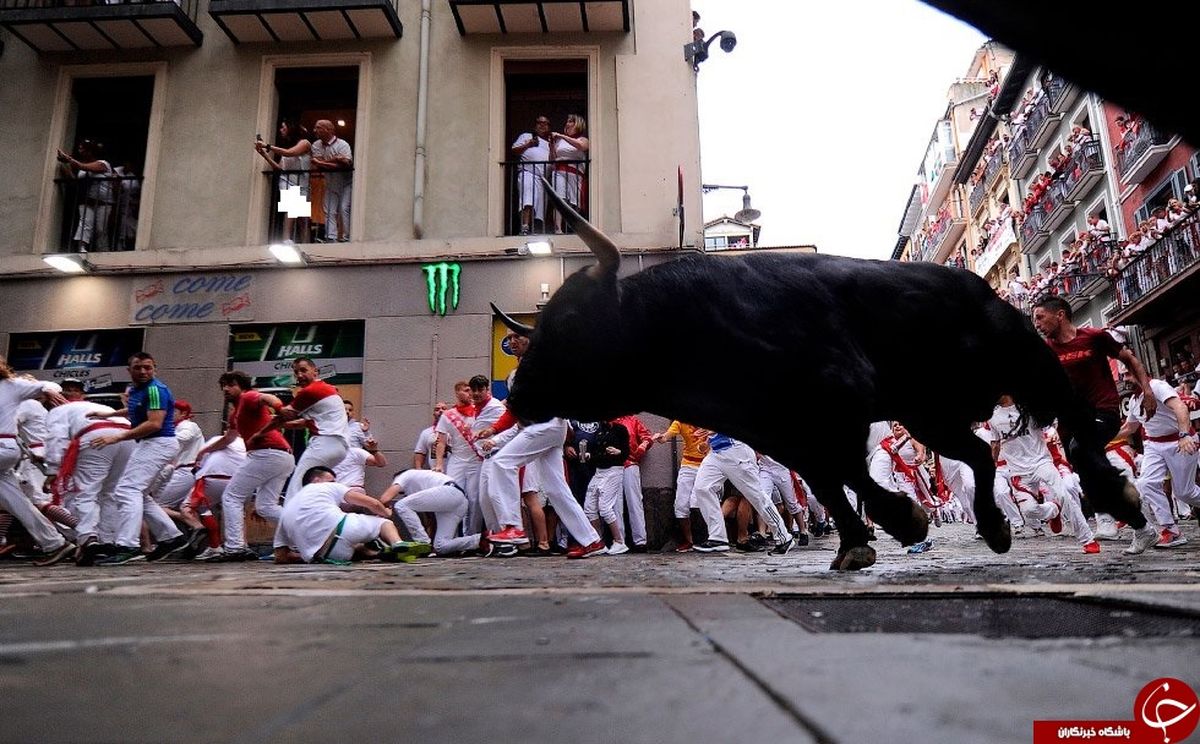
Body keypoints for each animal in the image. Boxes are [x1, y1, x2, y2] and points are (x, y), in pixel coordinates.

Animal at [494, 184, 1142, 568]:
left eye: (570, 321)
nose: (518, 394)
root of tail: (980, 288)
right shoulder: (780, 430)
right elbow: (829, 481)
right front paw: (858, 542)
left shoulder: (839, 402)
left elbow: (846, 473)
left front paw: (897, 521)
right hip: (927, 414)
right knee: (982, 456)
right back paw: (994, 525)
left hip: (1029, 363)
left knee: (1075, 429)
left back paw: (1121, 499)